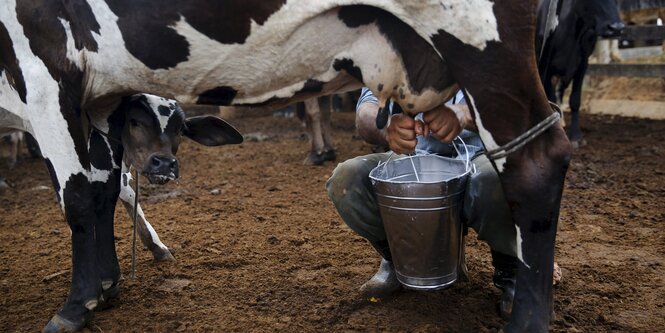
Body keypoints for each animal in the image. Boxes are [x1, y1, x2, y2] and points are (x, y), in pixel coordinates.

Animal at [1, 1, 572, 330]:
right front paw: (107, 285)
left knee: (536, 164)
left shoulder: (43, 66)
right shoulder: (91, 100)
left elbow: (79, 196)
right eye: (137, 118)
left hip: (481, 40)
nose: (165, 165)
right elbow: (103, 189)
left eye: (178, 124)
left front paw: (76, 305)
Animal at [536, 0, 624, 147]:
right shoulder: (545, 66)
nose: (616, 28)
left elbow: (575, 100)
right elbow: (549, 98)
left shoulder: (582, 64)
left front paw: (576, 136)